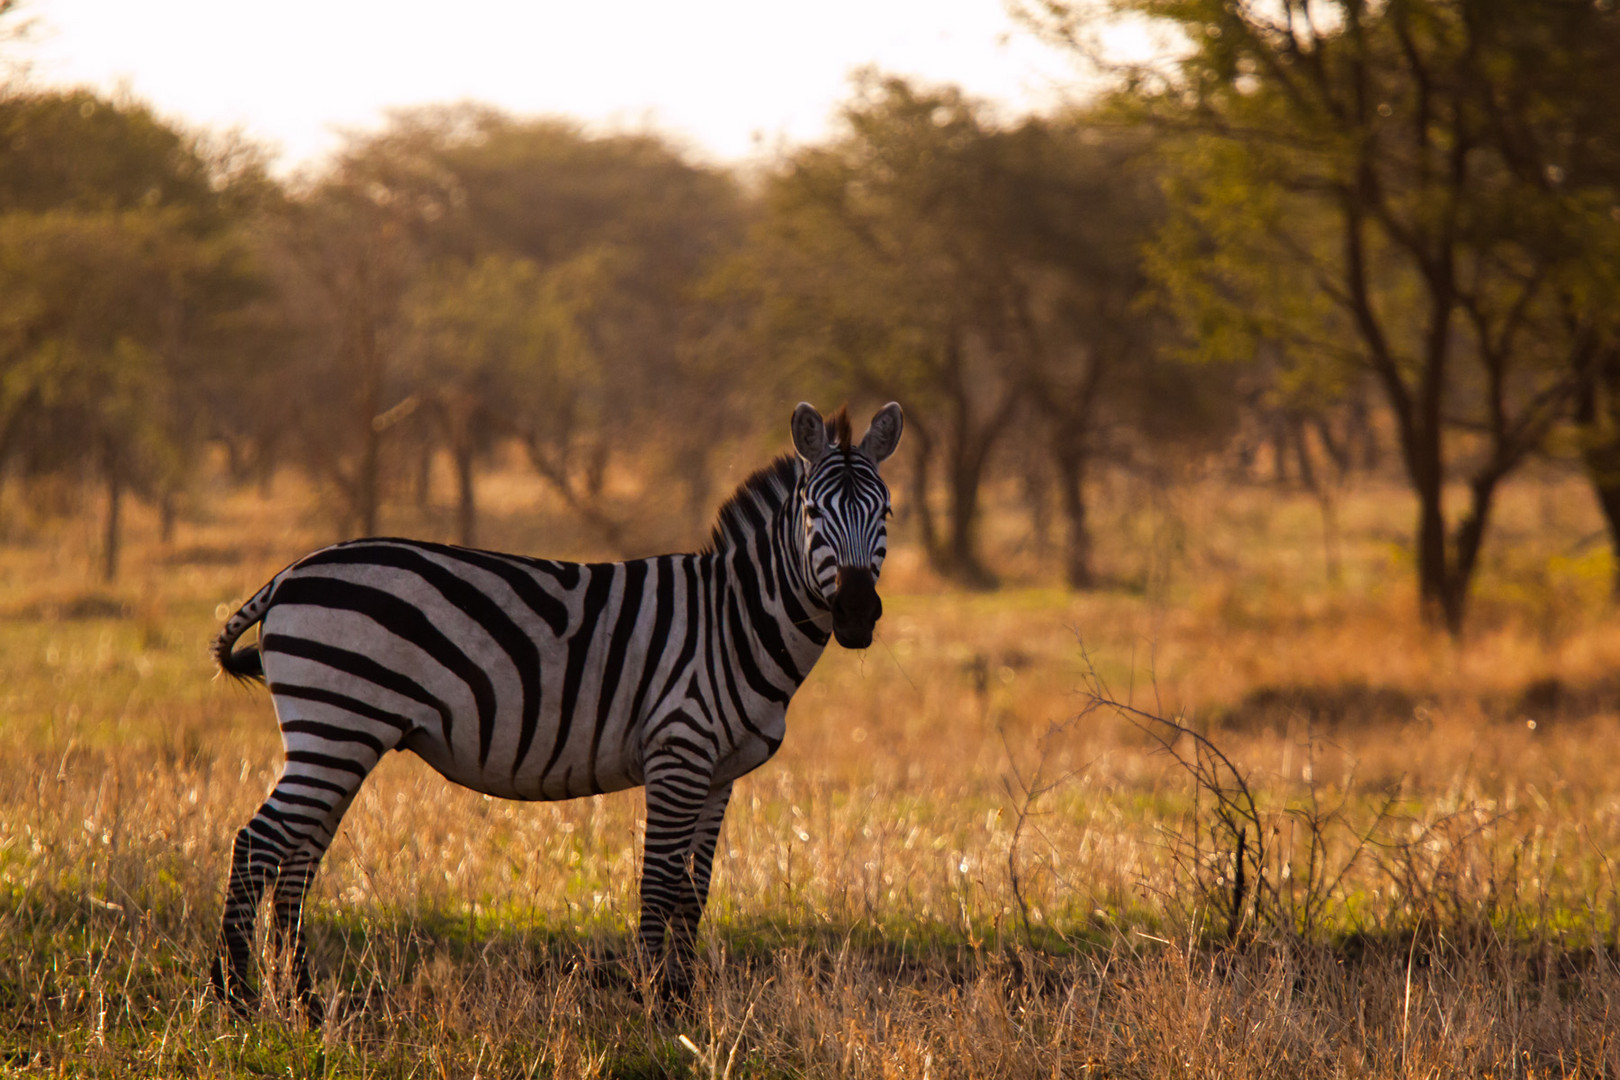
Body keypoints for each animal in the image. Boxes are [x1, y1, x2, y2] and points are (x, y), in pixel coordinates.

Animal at [208, 401, 907, 1016]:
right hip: (335, 726)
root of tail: (291, 573)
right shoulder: (677, 751)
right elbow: (659, 883)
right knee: (258, 844)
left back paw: (303, 1003)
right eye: (813, 513)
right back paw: (236, 1001)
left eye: (887, 512)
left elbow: (693, 891)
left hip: (340, 738)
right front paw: (654, 1007)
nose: (856, 613)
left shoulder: (719, 773)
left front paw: (684, 1001)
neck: (733, 621)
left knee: (298, 857)